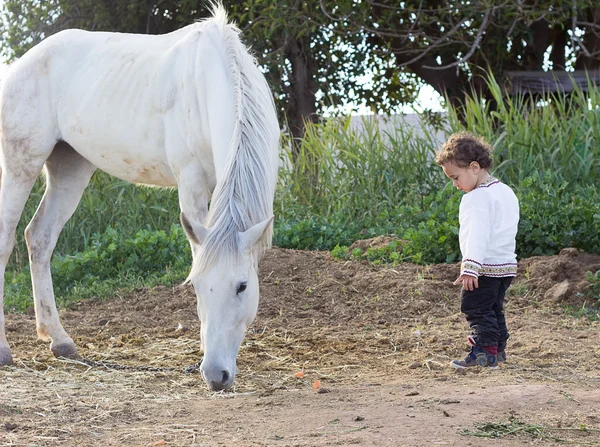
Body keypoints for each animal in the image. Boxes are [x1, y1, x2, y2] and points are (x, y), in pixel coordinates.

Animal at [0, 3, 280, 390]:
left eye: (242, 286)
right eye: (196, 286)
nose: (216, 375)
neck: (210, 81)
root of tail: (19, 66)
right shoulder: (191, 184)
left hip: (71, 169)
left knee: (39, 238)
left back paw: (60, 341)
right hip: (20, 167)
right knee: (7, 239)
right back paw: (4, 350)